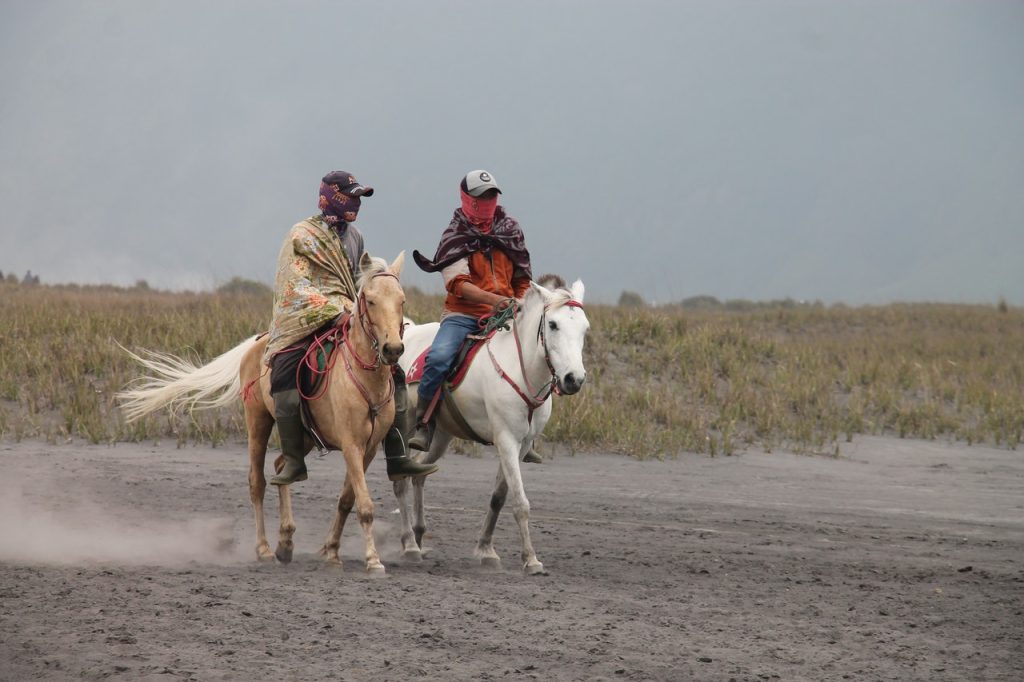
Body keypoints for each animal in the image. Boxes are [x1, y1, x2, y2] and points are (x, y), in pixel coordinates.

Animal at [117, 251, 405, 569]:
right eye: (371, 300)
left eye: (402, 300)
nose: (393, 349)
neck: (364, 377)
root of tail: (258, 342)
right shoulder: (351, 444)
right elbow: (364, 505)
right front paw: (373, 560)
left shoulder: (368, 448)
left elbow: (347, 500)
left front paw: (332, 550)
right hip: (258, 421)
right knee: (258, 482)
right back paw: (265, 548)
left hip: (303, 436)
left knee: (282, 468)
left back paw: (286, 541)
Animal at [391, 278, 589, 569]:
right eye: (553, 324)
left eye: (585, 328)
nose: (574, 379)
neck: (522, 371)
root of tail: (409, 332)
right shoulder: (505, 439)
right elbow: (520, 501)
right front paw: (531, 559)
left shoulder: (521, 444)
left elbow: (499, 497)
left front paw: (486, 550)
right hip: (403, 426)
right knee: (401, 479)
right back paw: (408, 545)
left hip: (439, 435)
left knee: (419, 471)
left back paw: (417, 535)